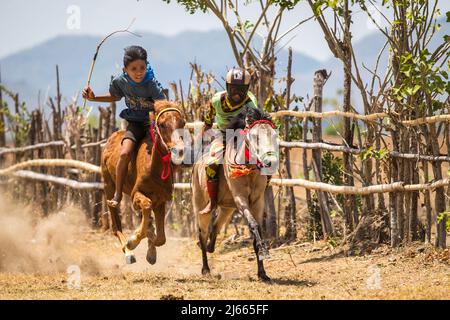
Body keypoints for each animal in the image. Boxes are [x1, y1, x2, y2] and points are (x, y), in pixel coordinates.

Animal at [101, 100, 185, 264]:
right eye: (162, 124)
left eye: (182, 123)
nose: (179, 151)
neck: (154, 167)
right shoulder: (136, 195)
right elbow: (146, 206)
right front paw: (133, 241)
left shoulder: (160, 201)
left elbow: (161, 238)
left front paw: (151, 251)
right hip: (109, 186)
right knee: (116, 225)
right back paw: (128, 252)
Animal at [192, 107, 280, 280]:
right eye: (255, 137)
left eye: (273, 135)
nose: (270, 162)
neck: (248, 170)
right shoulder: (241, 200)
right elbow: (253, 224)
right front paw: (264, 252)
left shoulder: (257, 202)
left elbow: (258, 228)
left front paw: (262, 272)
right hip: (201, 207)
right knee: (202, 233)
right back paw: (205, 269)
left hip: (227, 208)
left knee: (215, 226)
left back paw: (210, 247)